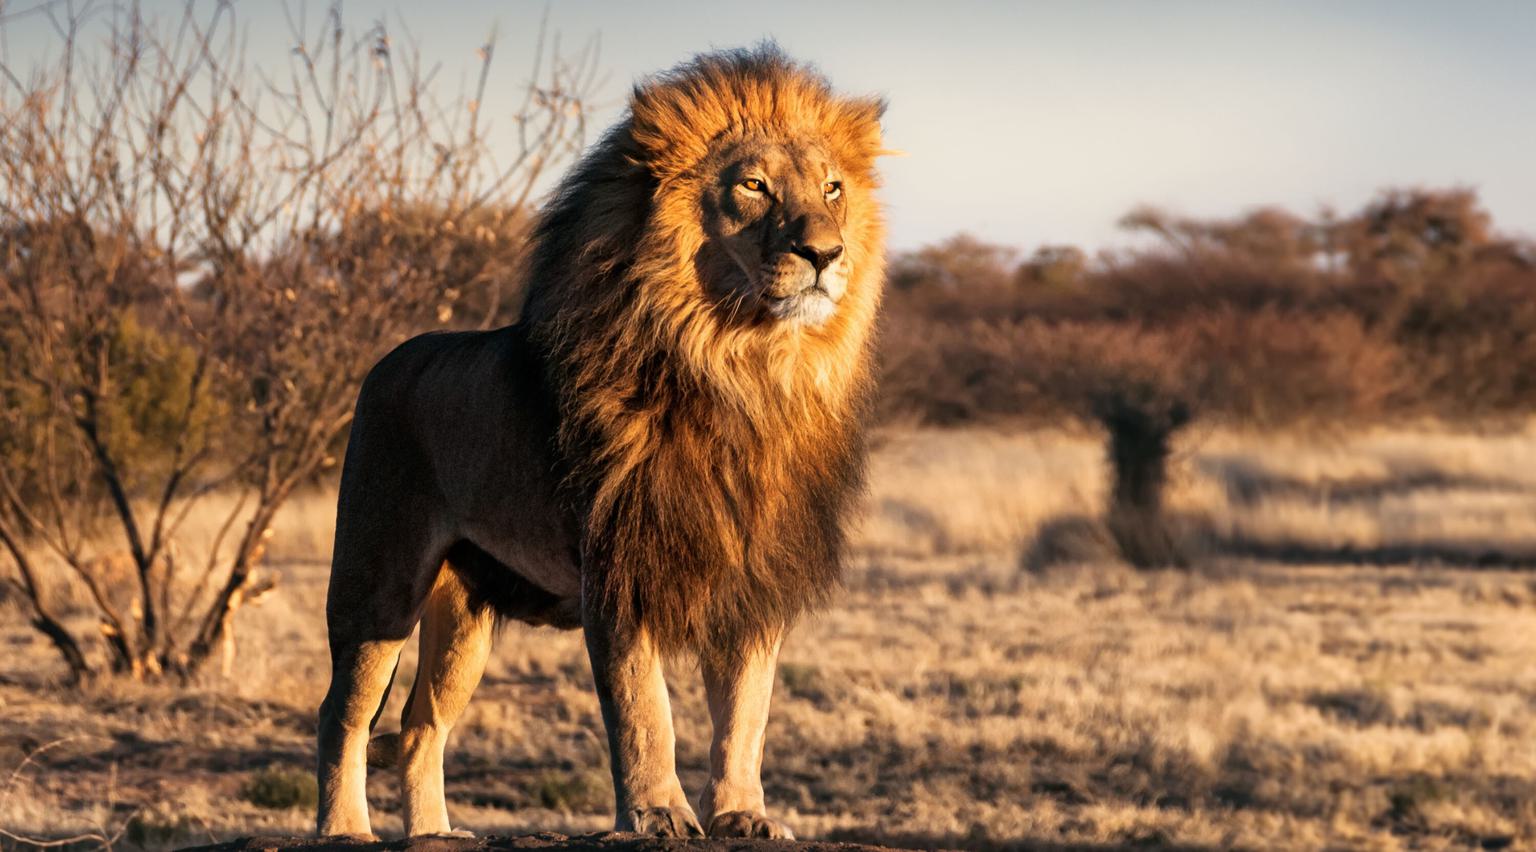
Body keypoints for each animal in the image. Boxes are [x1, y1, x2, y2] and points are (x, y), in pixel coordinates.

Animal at [315, 45, 888, 840]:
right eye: (753, 185)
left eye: (833, 188)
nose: (826, 253)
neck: (743, 370)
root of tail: (387, 360)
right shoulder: (618, 566)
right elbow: (645, 709)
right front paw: (658, 814)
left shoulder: (753, 577)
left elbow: (746, 713)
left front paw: (742, 814)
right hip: (378, 583)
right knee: (342, 713)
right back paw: (343, 829)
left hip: (464, 614)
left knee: (420, 724)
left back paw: (435, 834)